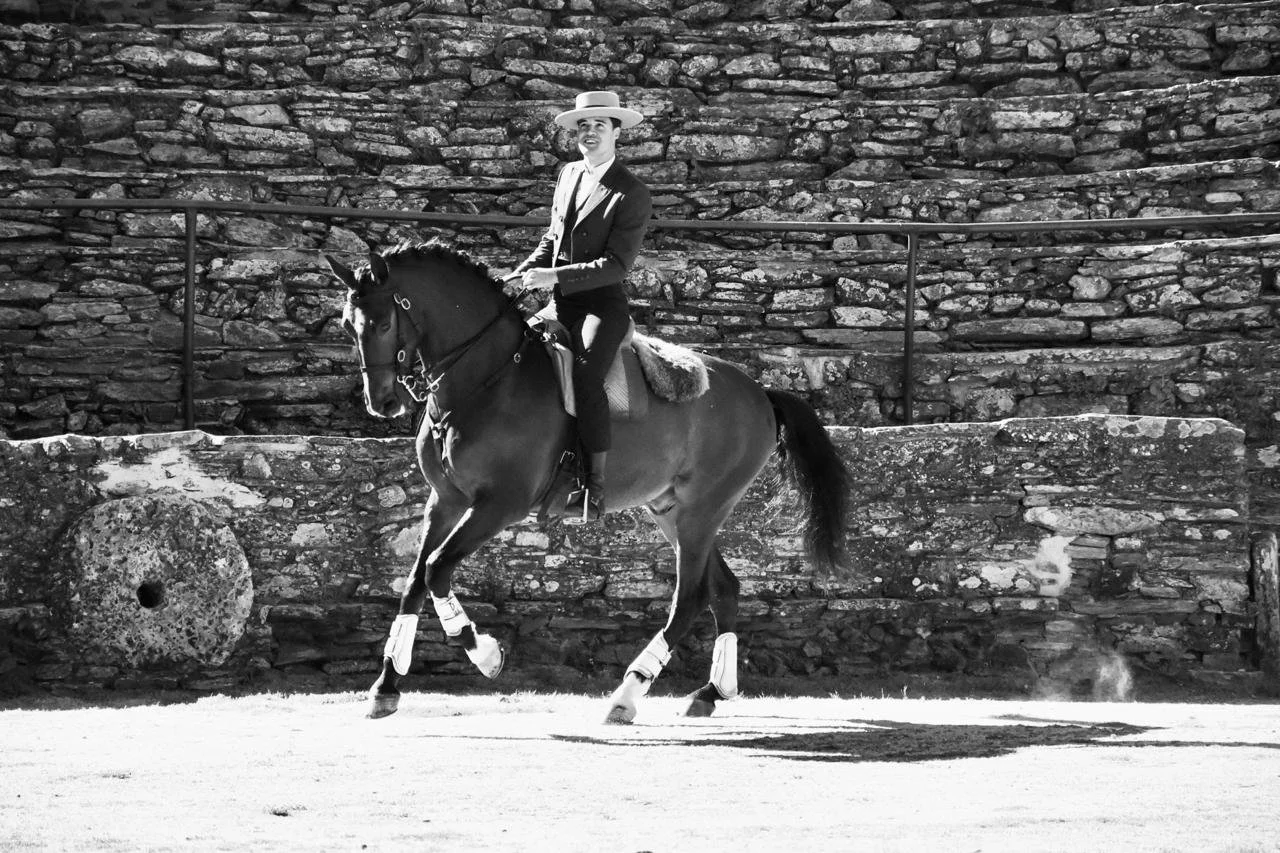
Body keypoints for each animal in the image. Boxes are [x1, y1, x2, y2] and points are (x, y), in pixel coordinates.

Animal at [326, 238, 851, 723]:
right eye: (349, 325)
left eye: (383, 323)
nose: (382, 402)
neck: (487, 379)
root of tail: (761, 392)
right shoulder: (446, 501)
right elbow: (415, 582)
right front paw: (386, 685)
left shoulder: (500, 504)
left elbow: (436, 569)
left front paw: (485, 652)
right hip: (672, 510)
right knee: (724, 588)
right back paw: (711, 692)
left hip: (702, 510)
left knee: (690, 598)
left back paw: (628, 694)